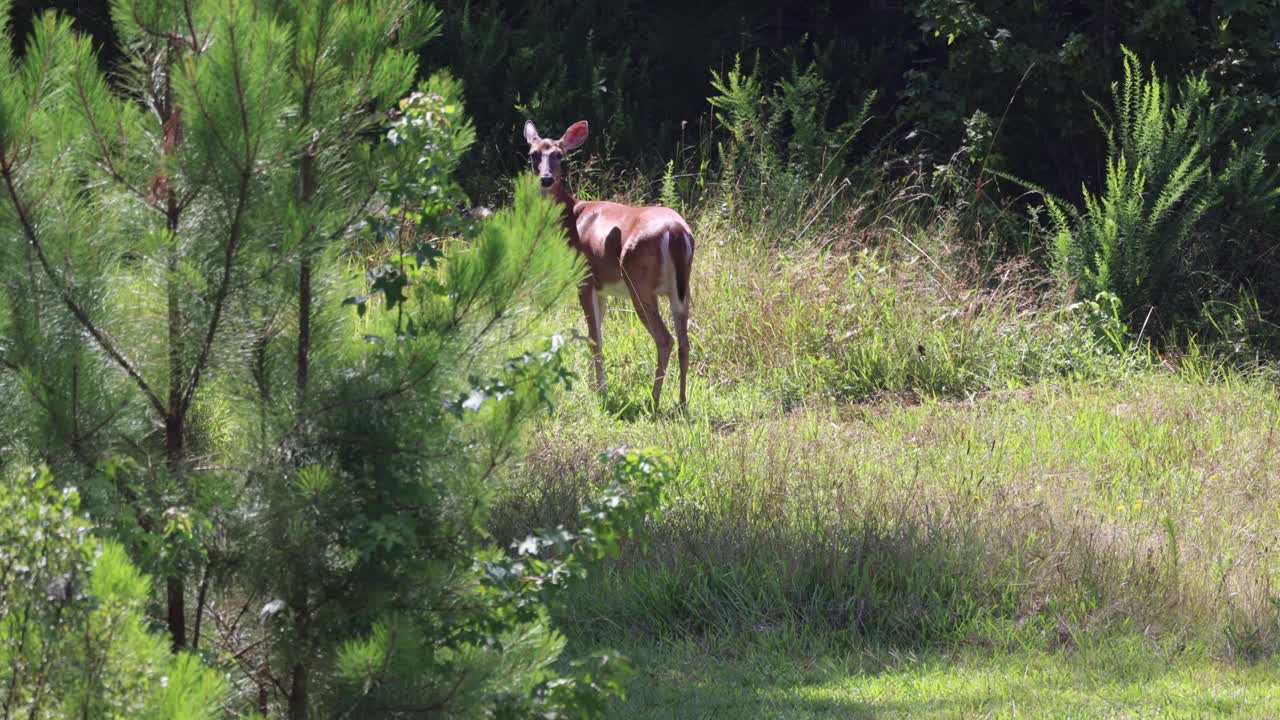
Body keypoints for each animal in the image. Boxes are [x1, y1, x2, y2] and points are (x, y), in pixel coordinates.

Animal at [524, 119, 696, 409]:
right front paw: (593, 385)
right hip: (681, 290)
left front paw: (600, 391)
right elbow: (596, 334)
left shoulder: (584, 278)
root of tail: (675, 233)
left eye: (559, 154)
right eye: (533, 154)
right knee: (684, 340)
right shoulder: (602, 288)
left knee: (665, 339)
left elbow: (594, 337)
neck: (571, 217)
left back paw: (654, 400)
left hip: (639, 282)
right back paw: (682, 402)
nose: (546, 179)